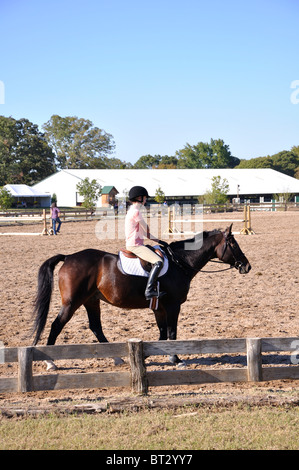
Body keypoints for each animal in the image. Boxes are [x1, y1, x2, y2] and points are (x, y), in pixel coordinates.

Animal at [32, 224, 252, 368]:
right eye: (233, 243)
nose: (247, 266)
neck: (180, 262)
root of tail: (68, 257)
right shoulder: (173, 305)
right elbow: (172, 333)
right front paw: (176, 359)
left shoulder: (159, 307)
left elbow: (162, 333)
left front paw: (149, 357)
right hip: (72, 302)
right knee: (56, 326)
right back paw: (50, 362)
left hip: (91, 301)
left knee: (96, 327)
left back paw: (117, 359)